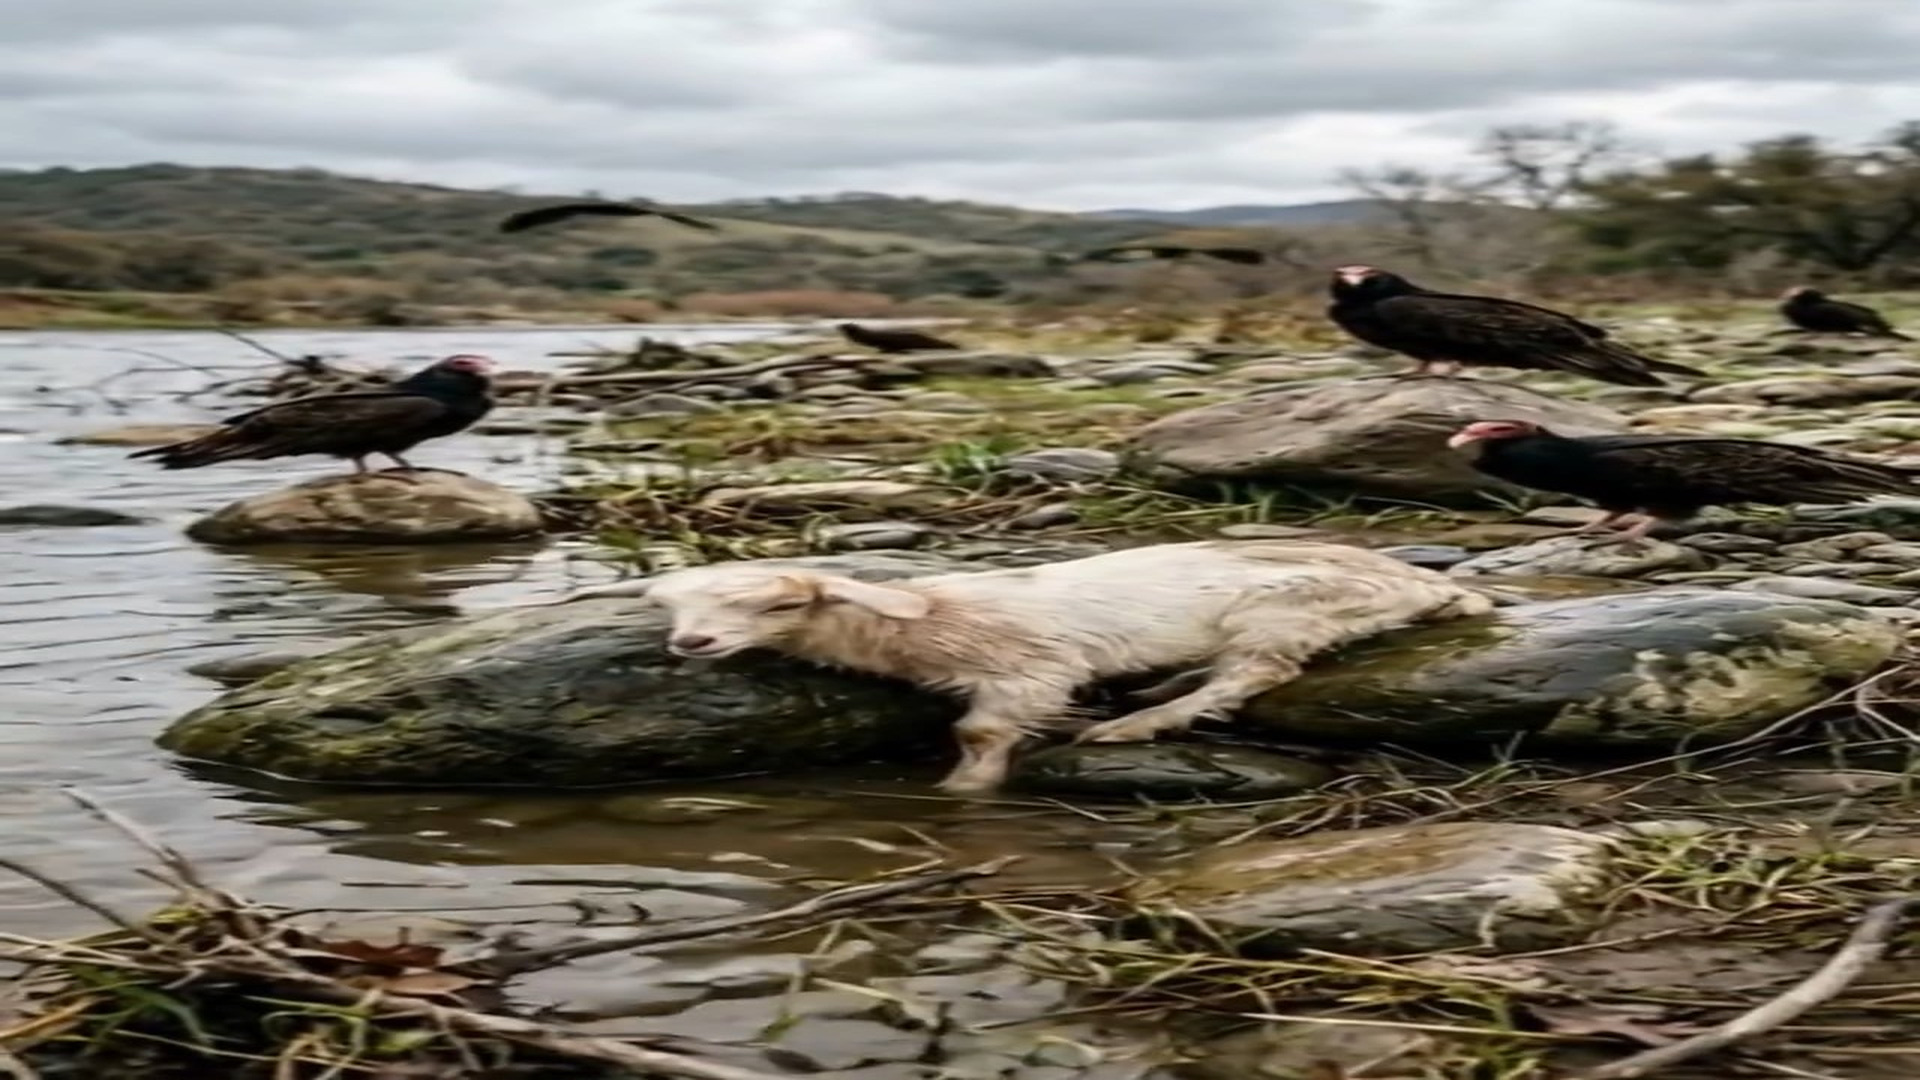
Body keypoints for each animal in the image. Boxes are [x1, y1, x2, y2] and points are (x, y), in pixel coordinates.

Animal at [588, 541, 1493, 794]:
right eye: (671, 609)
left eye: (776, 606)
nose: (692, 647)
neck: (927, 620)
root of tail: (1424, 583)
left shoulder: (1031, 664)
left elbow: (984, 727)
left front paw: (965, 789)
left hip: (1286, 609)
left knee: (1256, 674)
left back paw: (1139, 723)